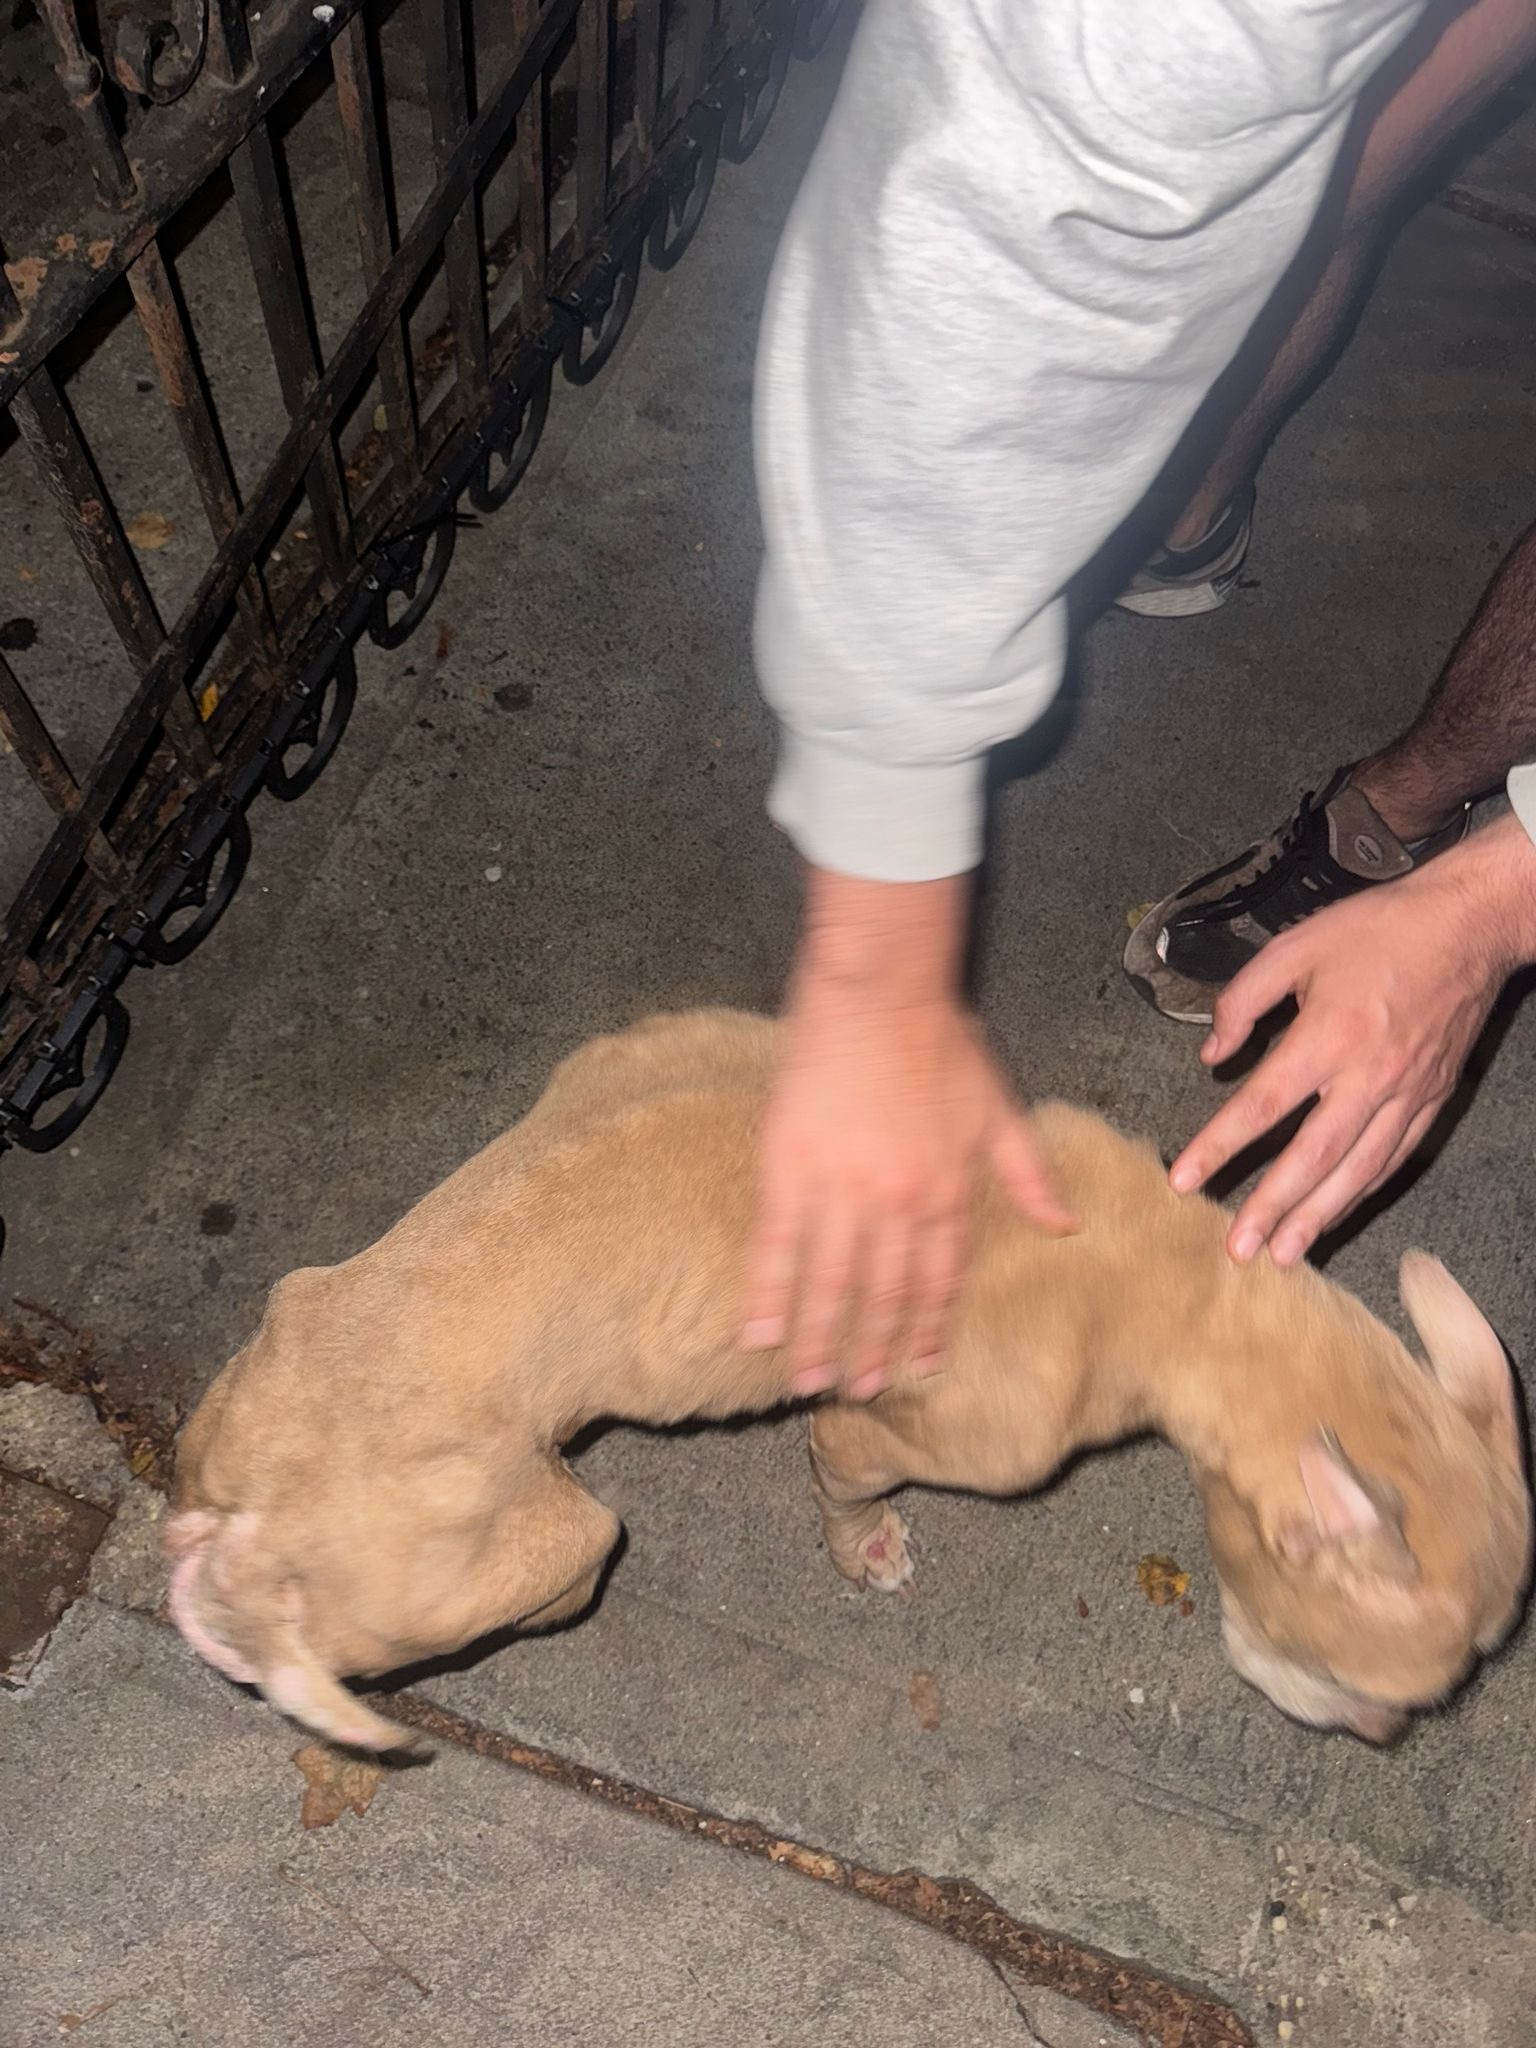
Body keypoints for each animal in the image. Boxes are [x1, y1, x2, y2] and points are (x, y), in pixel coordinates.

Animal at [166, 1008, 1531, 1750]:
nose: (1389, 1737)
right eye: (1368, 1683)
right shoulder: (895, 1428)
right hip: (545, 1553)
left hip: (251, 1379)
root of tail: (249, 1508)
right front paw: (864, 1547)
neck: (1184, 1277)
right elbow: (849, 1475)